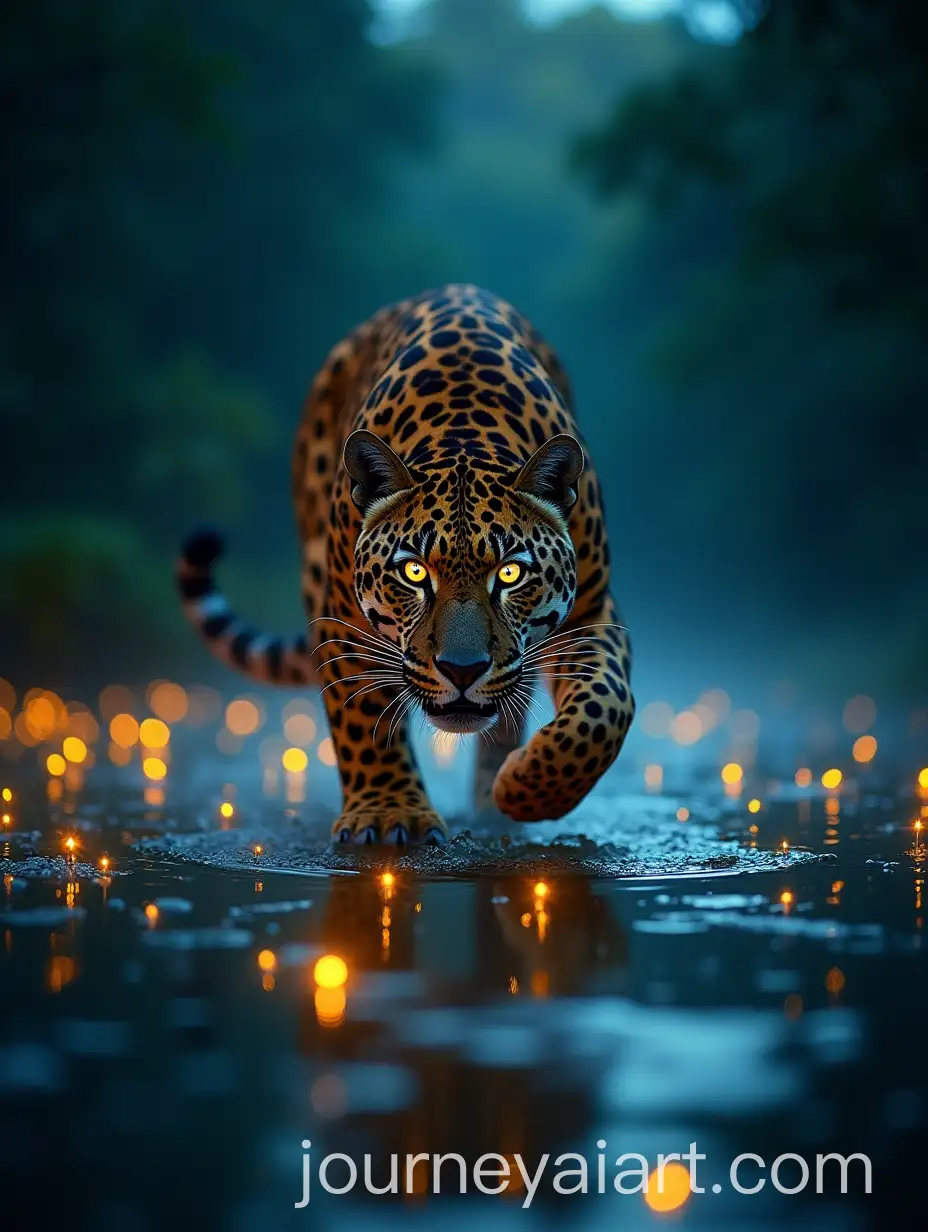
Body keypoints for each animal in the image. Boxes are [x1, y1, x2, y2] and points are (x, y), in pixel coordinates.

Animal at [176, 284, 635, 846]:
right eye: (414, 573)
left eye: (510, 574)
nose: (462, 669)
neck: (466, 434)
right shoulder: (343, 617)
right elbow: (360, 716)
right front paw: (388, 813)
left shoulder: (591, 611)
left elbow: (604, 709)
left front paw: (529, 789)